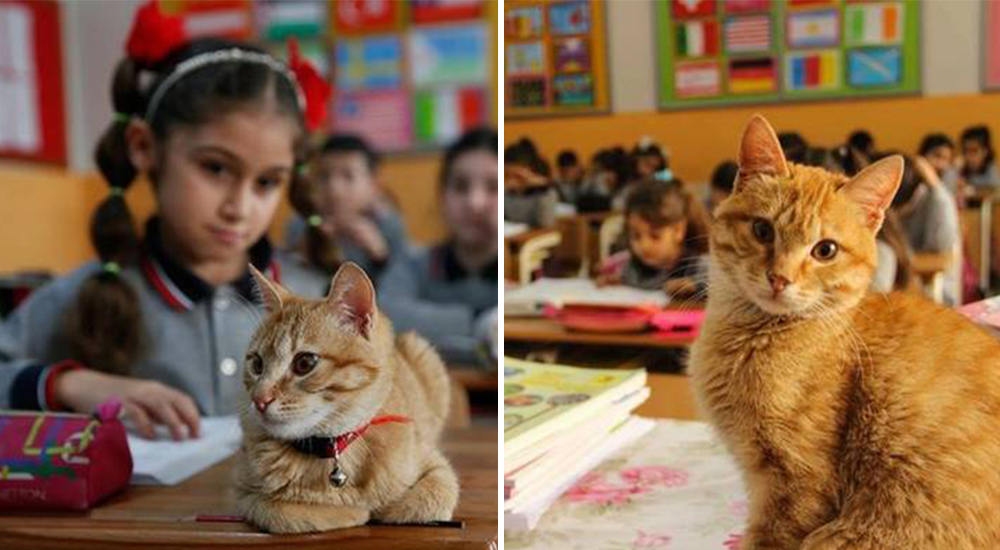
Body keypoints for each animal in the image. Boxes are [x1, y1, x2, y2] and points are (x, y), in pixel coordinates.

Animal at [238, 264, 460, 536]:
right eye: (257, 364)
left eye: (305, 363)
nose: (259, 399)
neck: (331, 448)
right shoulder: (243, 492)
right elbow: (283, 513)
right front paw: (350, 510)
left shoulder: (437, 467)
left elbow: (427, 499)